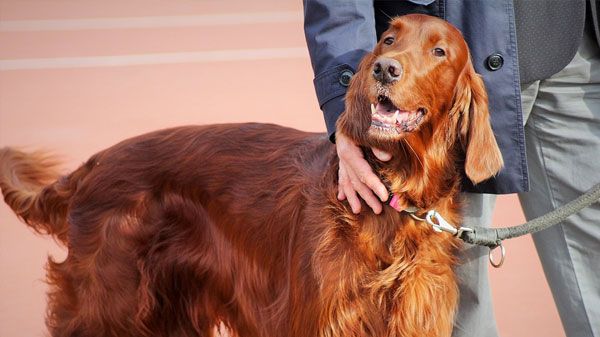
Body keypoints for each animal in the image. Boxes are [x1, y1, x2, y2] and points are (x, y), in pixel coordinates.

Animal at [1, 15, 502, 336]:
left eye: (439, 51)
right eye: (388, 39)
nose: (384, 69)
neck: (395, 196)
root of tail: (90, 166)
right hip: (106, 304)